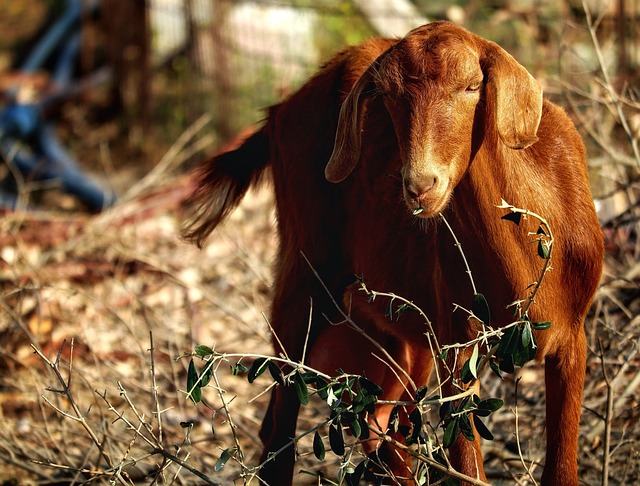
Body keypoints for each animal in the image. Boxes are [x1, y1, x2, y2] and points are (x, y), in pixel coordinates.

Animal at [182, 21, 604, 486]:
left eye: (473, 86)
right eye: (386, 97)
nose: (419, 186)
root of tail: (280, 111)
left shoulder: (573, 337)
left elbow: (561, 466)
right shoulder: (458, 343)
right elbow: (467, 461)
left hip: (401, 338)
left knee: (380, 420)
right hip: (305, 268)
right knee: (283, 415)